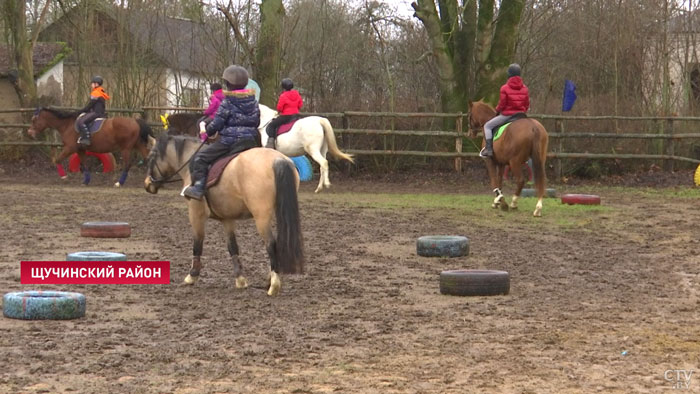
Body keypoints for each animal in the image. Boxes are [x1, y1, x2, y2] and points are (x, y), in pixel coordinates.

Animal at [143, 135, 304, 296]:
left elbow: (197, 243)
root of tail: (278, 159)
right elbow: (232, 247)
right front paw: (240, 279)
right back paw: (269, 280)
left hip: (261, 217)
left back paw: (274, 284)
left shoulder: (195, 213)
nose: (147, 184)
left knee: (271, 244)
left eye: (150, 157)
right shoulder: (227, 219)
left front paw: (192, 276)